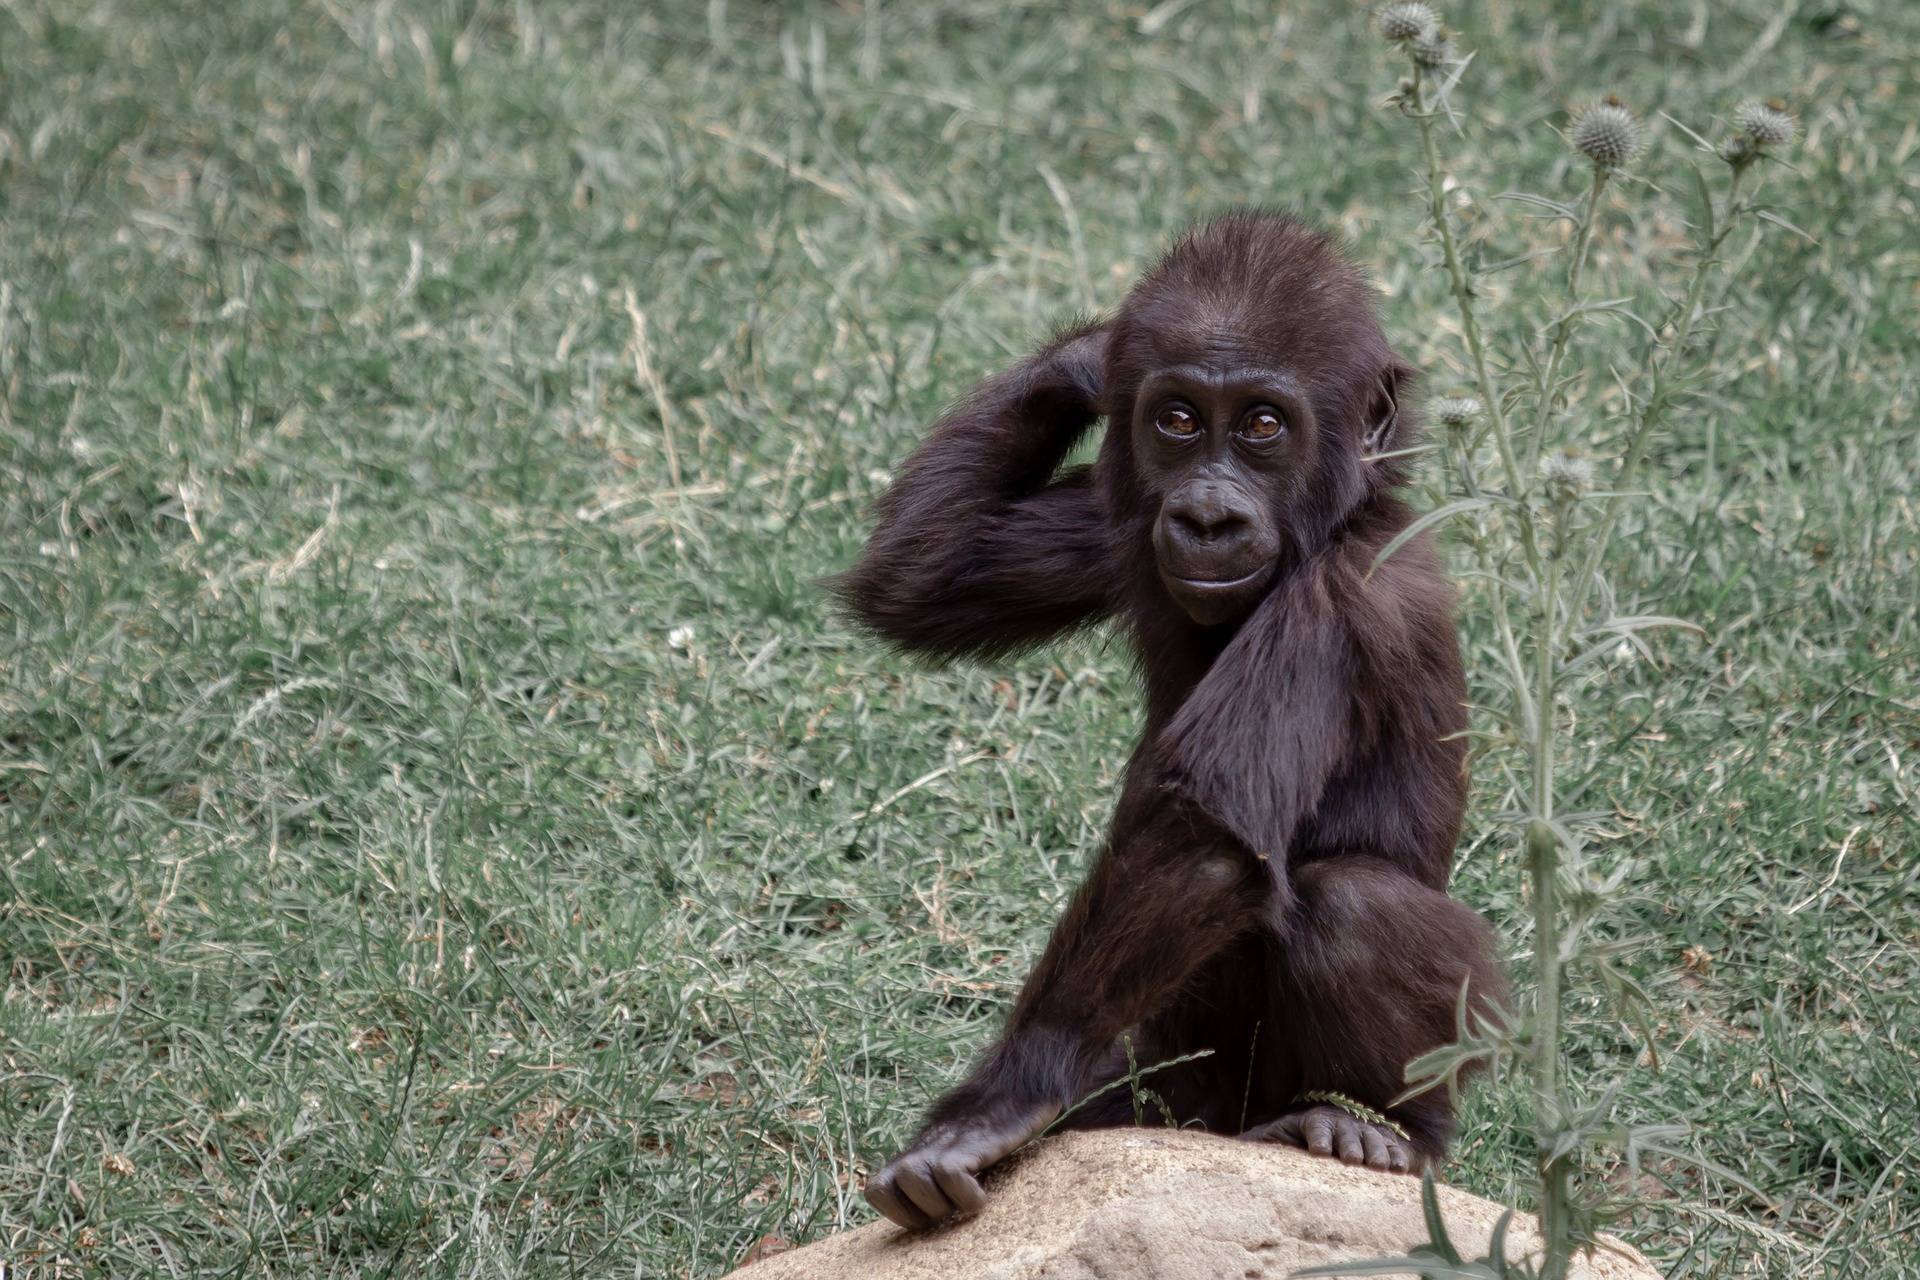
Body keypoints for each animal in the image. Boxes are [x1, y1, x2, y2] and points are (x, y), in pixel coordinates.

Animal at [840, 213, 1512, 1228]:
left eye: (1265, 425)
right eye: (1180, 419)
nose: (1205, 517)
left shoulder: (1348, 601)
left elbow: (1205, 834)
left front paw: (1005, 1099)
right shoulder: (1117, 515)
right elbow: (923, 577)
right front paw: (1085, 358)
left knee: (1355, 903)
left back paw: (1373, 1128)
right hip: (1176, 1095)